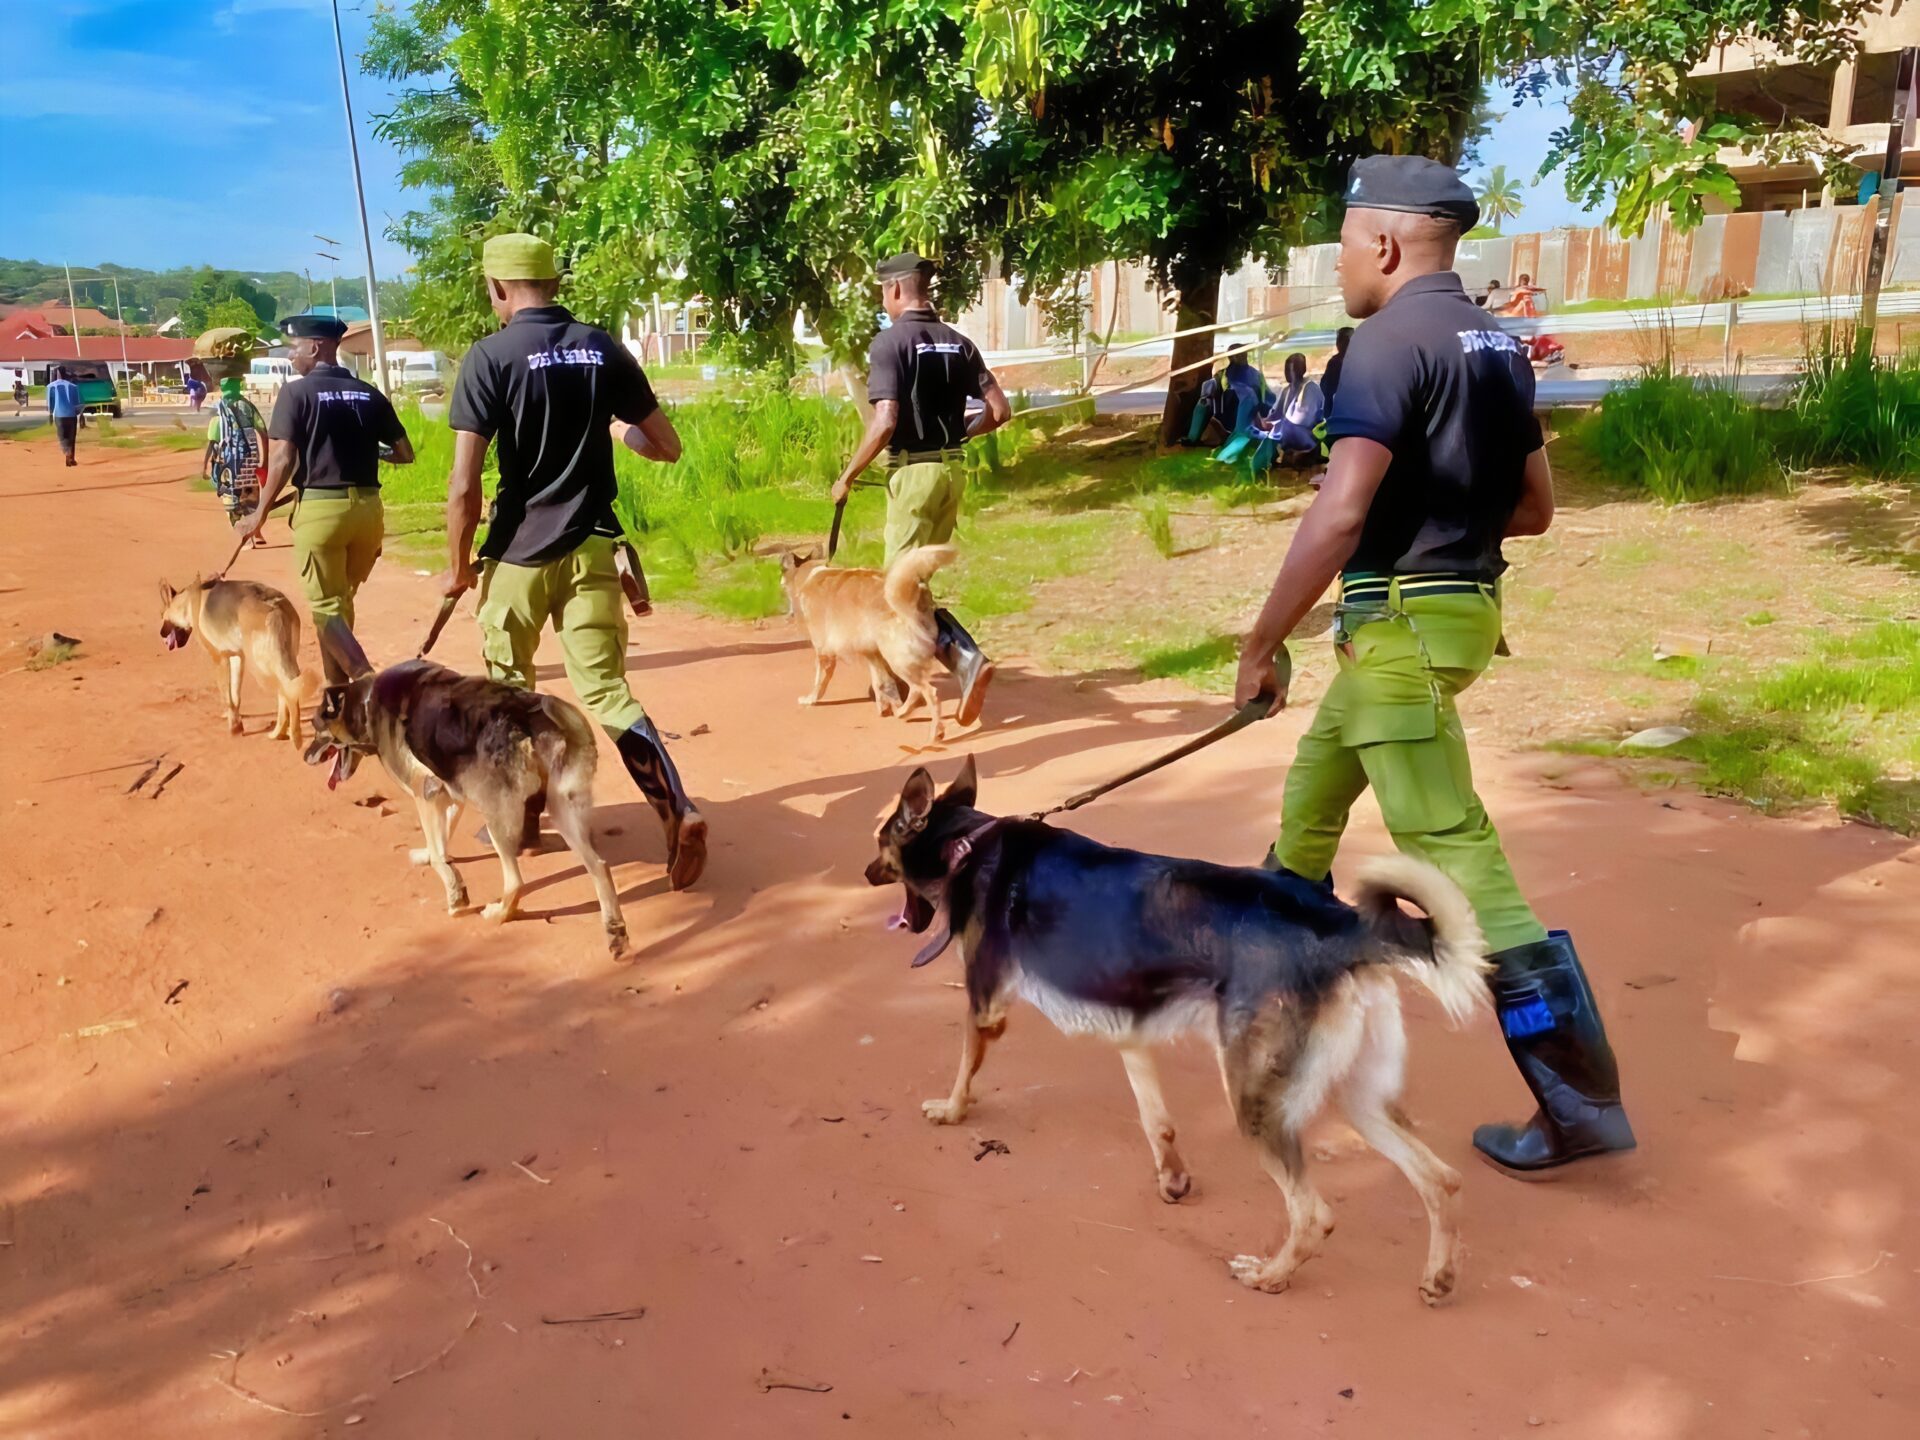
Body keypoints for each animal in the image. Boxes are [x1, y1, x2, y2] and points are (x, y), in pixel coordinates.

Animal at [159, 579, 316, 748]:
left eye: (162, 616)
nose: (161, 633)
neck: (188, 603)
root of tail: (276, 607)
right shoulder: (237, 657)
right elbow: (235, 696)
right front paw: (235, 720)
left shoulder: (219, 658)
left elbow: (227, 697)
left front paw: (234, 728)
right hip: (284, 659)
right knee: (286, 691)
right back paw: (279, 732)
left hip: (266, 664)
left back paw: (292, 734)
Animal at [303, 664, 625, 960]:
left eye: (316, 728)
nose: (305, 756)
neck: (366, 702)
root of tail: (528, 714)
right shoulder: (449, 791)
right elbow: (442, 837)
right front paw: (434, 860)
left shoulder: (425, 791)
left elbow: (438, 853)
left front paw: (456, 897)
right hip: (562, 810)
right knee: (599, 866)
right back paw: (616, 932)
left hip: (497, 819)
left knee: (515, 881)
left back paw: (500, 914)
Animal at [783, 545, 956, 744]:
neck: (809, 575)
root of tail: (912, 592)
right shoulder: (871, 652)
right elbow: (881, 682)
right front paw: (884, 706)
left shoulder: (824, 652)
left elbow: (819, 681)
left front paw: (810, 699)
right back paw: (902, 711)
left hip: (896, 656)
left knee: (926, 691)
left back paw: (930, 729)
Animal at [875, 760, 1497, 1305]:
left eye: (880, 842)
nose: (864, 872)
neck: (966, 843)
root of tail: (1345, 929)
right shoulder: (1129, 1029)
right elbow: (1158, 1122)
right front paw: (1173, 1180)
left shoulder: (985, 1007)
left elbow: (964, 1070)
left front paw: (950, 1112)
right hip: (1357, 1097)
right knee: (1441, 1180)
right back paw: (1438, 1279)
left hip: (1256, 1103)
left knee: (1314, 1216)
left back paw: (1269, 1277)